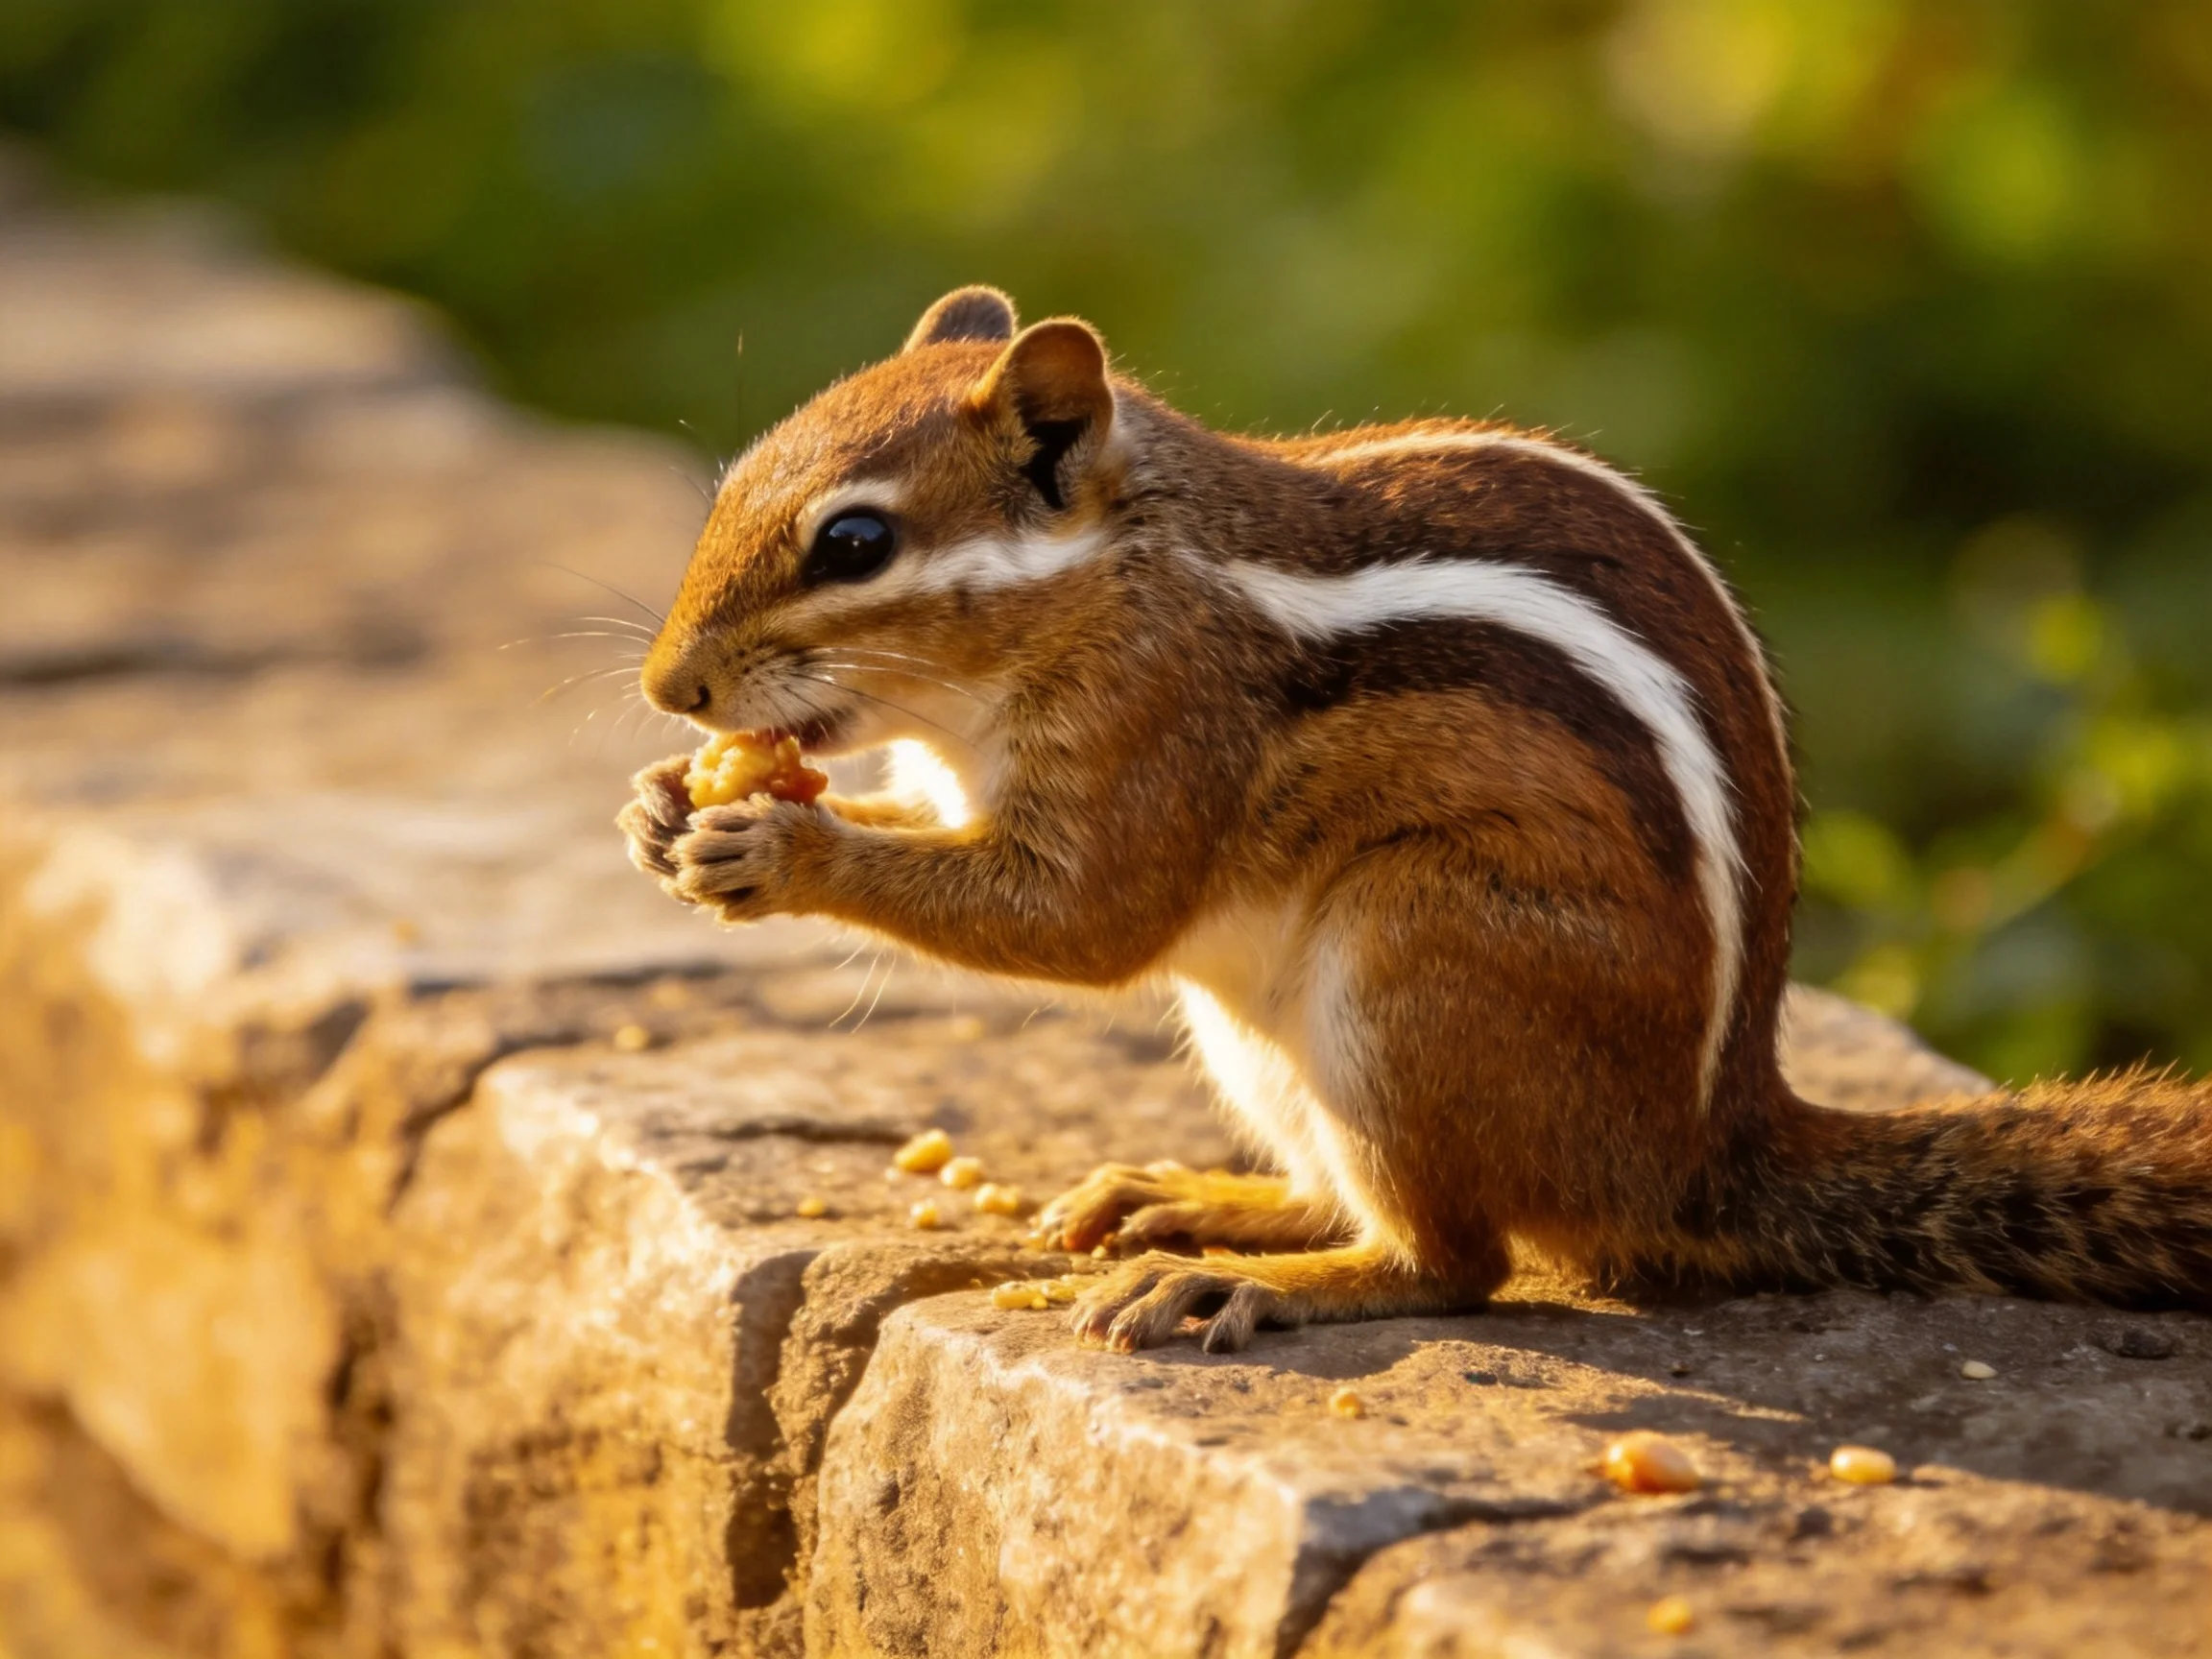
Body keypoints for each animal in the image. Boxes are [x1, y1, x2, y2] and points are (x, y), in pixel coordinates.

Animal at [619, 285, 2212, 1354]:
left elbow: (1083, 922)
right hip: (1266, 1040)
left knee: (1453, 1263)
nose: (665, 688)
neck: (1115, 575)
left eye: (854, 542)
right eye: (735, 480)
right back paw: (1199, 1201)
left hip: (1415, 967)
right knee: (1355, 1200)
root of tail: (1703, 1147)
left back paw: (1249, 1282)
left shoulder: (1160, 733)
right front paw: (659, 808)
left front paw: (782, 848)